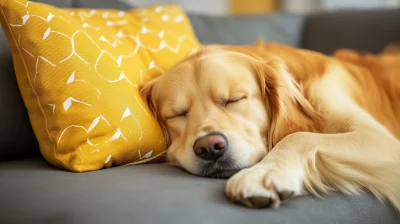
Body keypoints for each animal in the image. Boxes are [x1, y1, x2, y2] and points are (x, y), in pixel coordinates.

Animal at [140, 40, 400, 212]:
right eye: (177, 114)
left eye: (235, 99)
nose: (209, 147)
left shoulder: (379, 138)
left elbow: (299, 136)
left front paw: (263, 173)